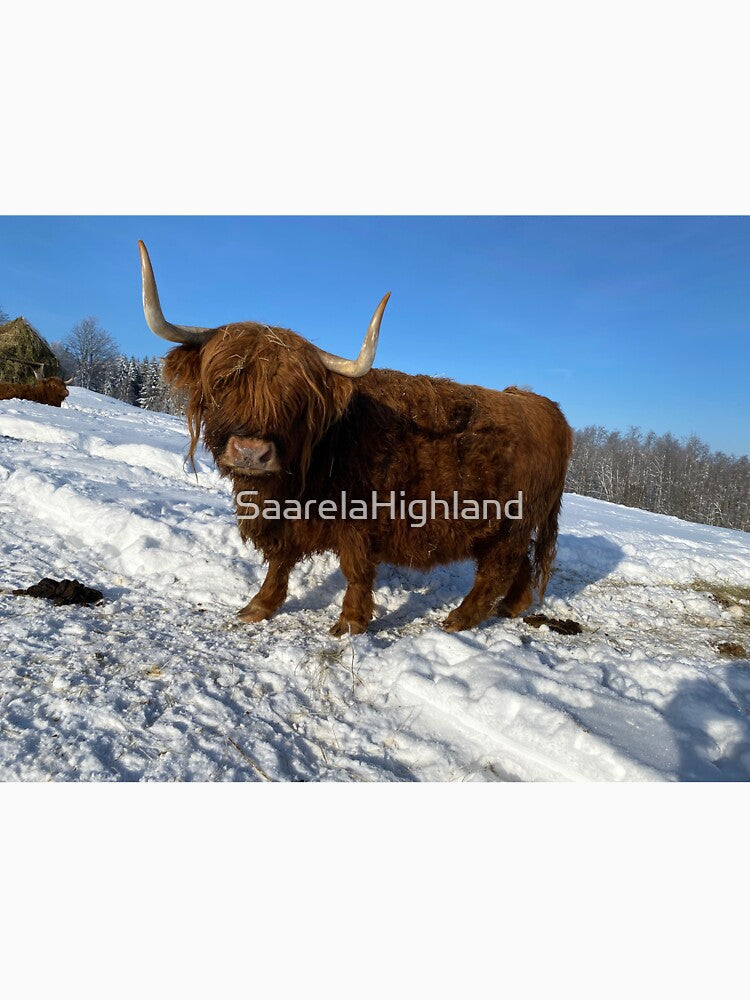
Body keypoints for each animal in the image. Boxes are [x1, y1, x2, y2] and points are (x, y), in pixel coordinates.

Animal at [139, 240, 573, 635]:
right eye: (223, 383)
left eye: (295, 399)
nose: (250, 453)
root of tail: (544, 406)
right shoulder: (287, 519)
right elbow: (280, 561)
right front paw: (258, 606)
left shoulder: (360, 521)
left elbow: (356, 569)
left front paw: (349, 622)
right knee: (520, 565)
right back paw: (511, 607)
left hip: (512, 523)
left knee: (498, 568)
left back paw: (459, 619)